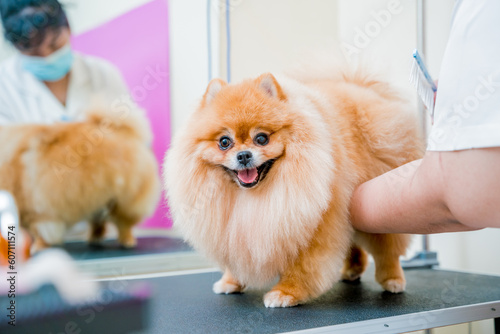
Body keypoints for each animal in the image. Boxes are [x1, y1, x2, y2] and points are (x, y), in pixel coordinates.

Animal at [0, 109, 160, 253]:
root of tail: (124, 131)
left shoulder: (40, 214)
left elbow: (41, 234)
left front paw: (39, 247)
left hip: (123, 201)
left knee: (124, 224)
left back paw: (127, 241)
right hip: (98, 199)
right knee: (98, 222)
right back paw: (95, 238)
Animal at [164, 65, 422, 308]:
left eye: (262, 138)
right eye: (224, 142)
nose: (244, 155)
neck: (252, 195)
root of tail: (363, 90)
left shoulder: (315, 225)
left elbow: (303, 267)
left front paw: (286, 293)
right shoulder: (238, 232)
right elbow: (237, 258)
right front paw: (230, 282)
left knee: (387, 248)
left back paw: (392, 279)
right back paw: (351, 270)